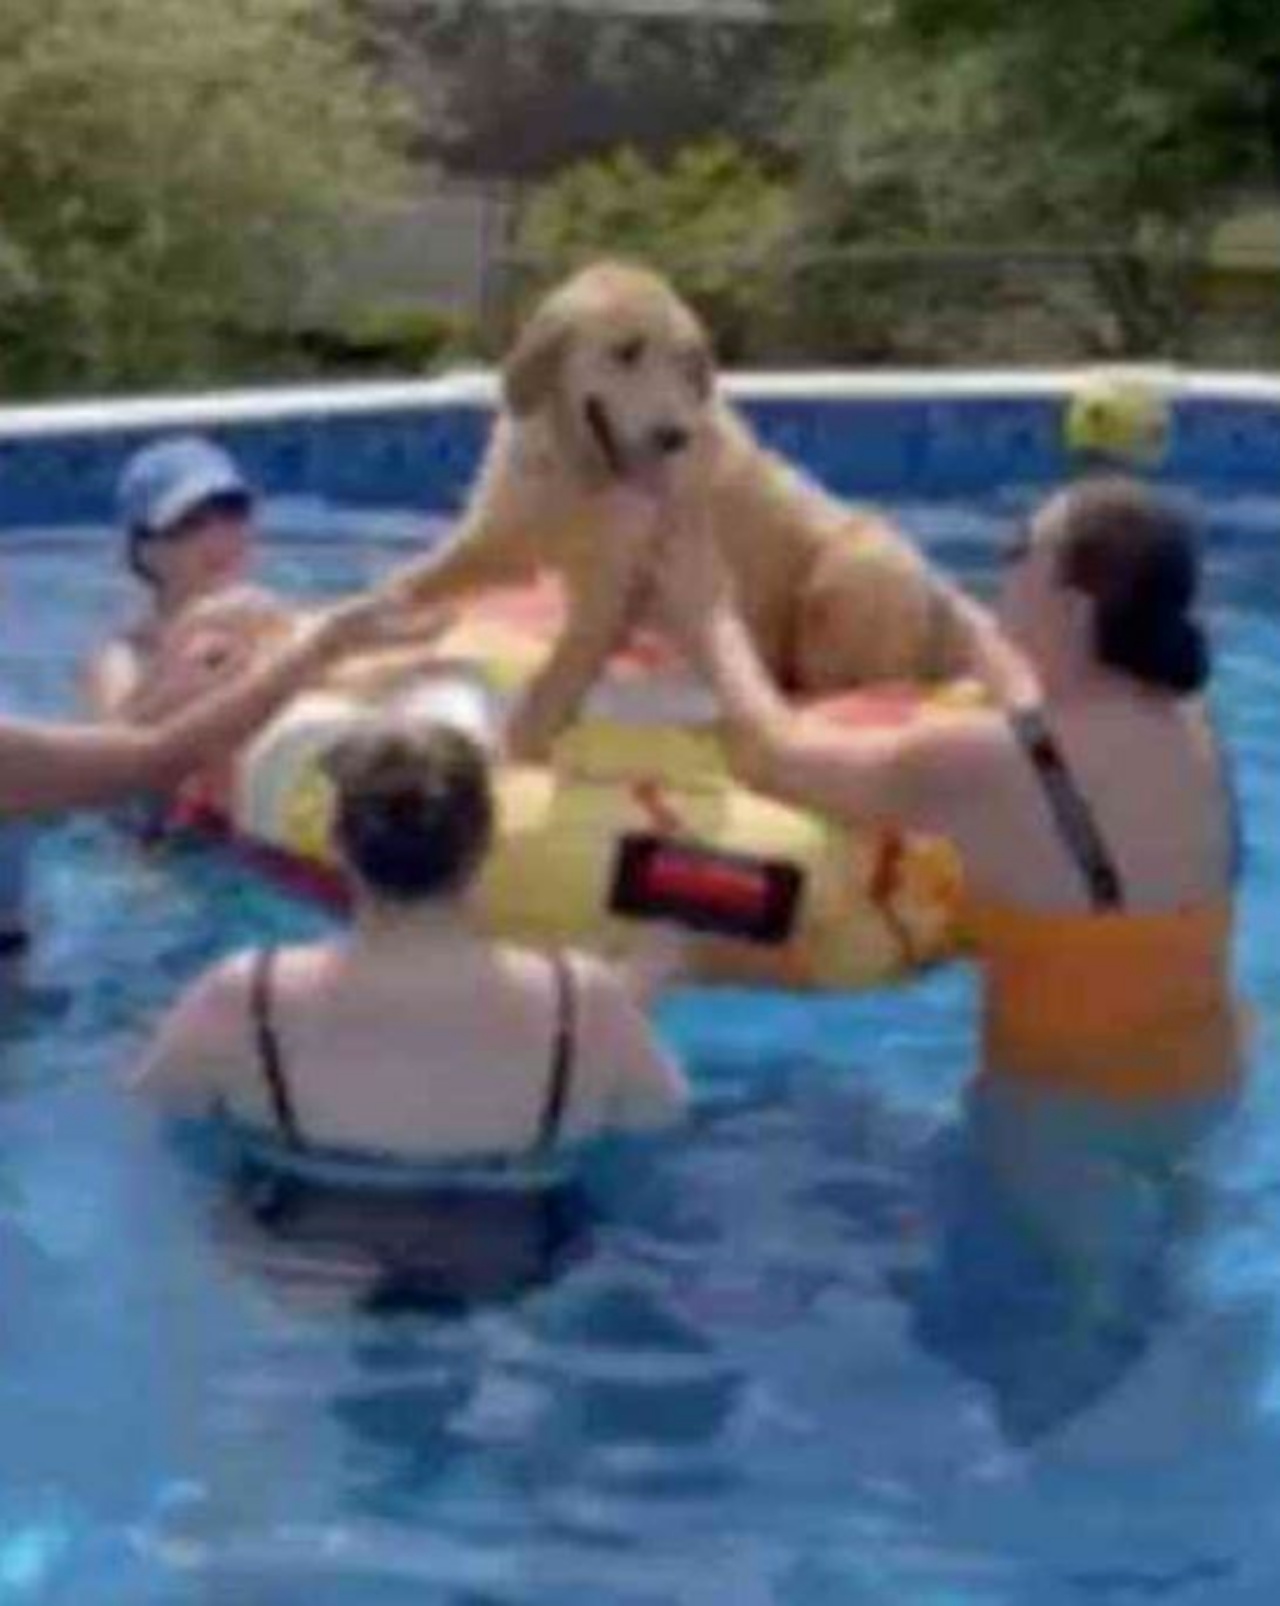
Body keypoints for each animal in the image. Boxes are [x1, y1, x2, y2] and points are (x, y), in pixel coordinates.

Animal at [390, 261, 957, 758]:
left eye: (686, 362)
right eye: (626, 351)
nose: (673, 436)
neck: (579, 470)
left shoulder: (609, 583)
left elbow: (559, 673)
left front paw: (522, 743)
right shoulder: (503, 534)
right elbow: (424, 577)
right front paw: (381, 611)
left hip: (856, 564)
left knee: (841, 679)